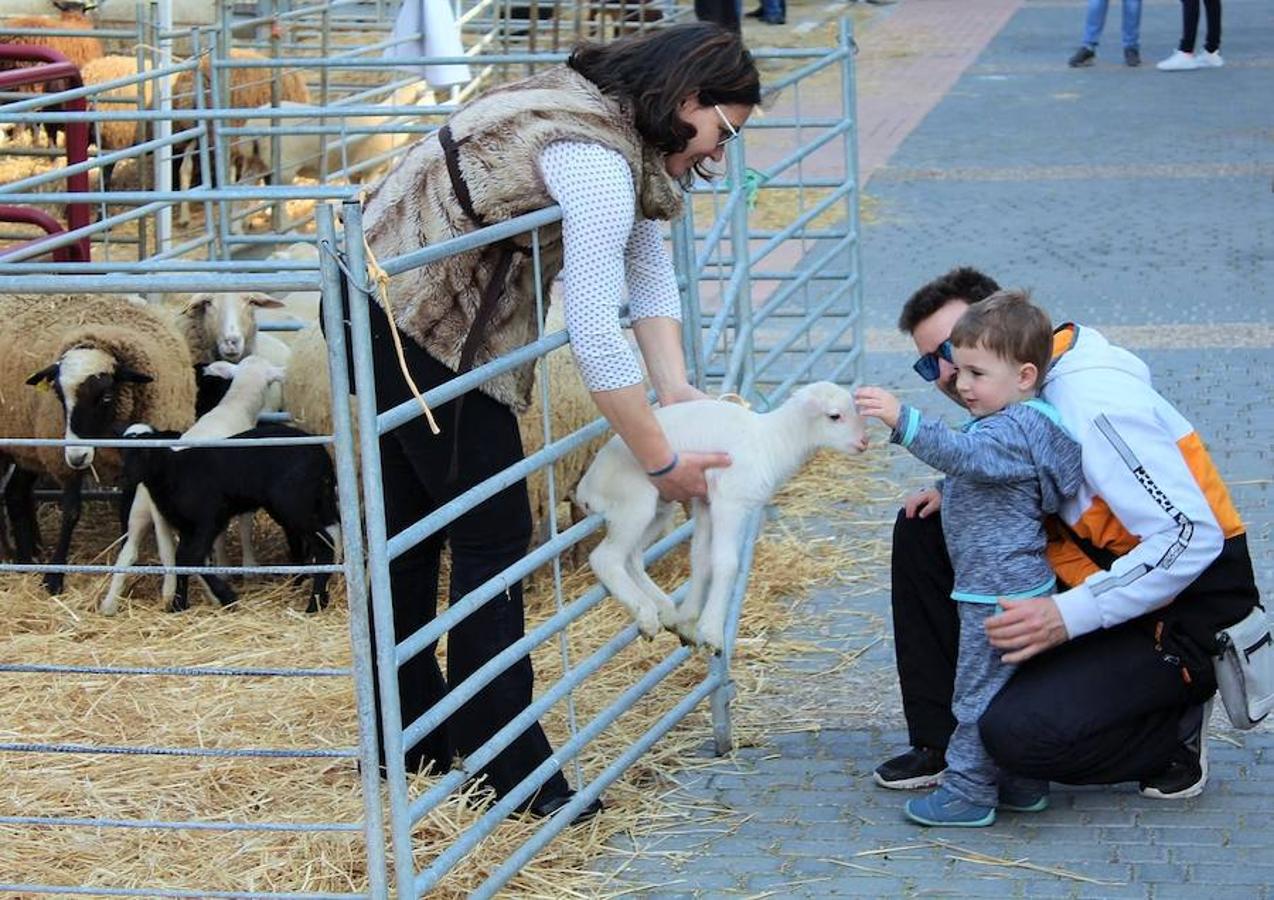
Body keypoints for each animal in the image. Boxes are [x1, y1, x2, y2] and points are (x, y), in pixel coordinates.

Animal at [100, 354, 289, 614]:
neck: (235, 406)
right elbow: (243, 529)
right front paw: (245, 567)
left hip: (141, 511)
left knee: (130, 552)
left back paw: (110, 603)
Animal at [575, 379, 866, 652]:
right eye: (835, 416)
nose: (864, 443)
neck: (773, 443)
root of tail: (586, 488)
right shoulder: (729, 502)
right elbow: (726, 563)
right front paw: (712, 631)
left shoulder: (705, 501)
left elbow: (701, 559)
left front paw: (689, 622)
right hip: (634, 503)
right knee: (606, 558)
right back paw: (645, 613)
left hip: (658, 508)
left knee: (632, 557)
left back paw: (664, 609)